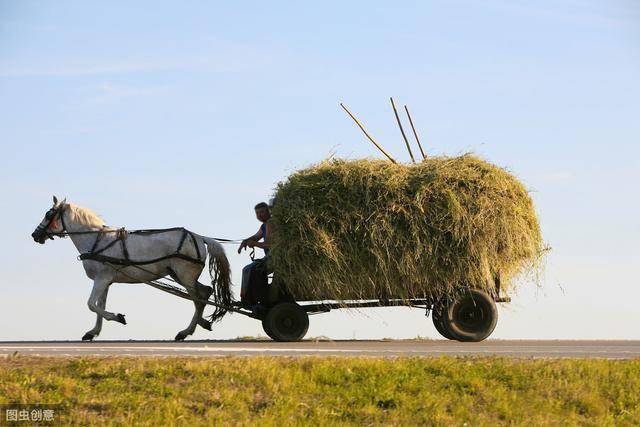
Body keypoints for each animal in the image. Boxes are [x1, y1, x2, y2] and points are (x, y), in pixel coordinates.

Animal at [31, 196, 232, 342]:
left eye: (48, 214)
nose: (35, 235)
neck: (96, 240)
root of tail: (199, 237)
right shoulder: (105, 281)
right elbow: (99, 305)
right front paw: (93, 332)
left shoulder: (102, 279)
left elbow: (91, 304)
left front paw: (117, 317)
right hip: (179, 276)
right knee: (205, 293)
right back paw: (202, 323)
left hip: (185, 276)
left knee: (198, 300)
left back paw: (186, 331)